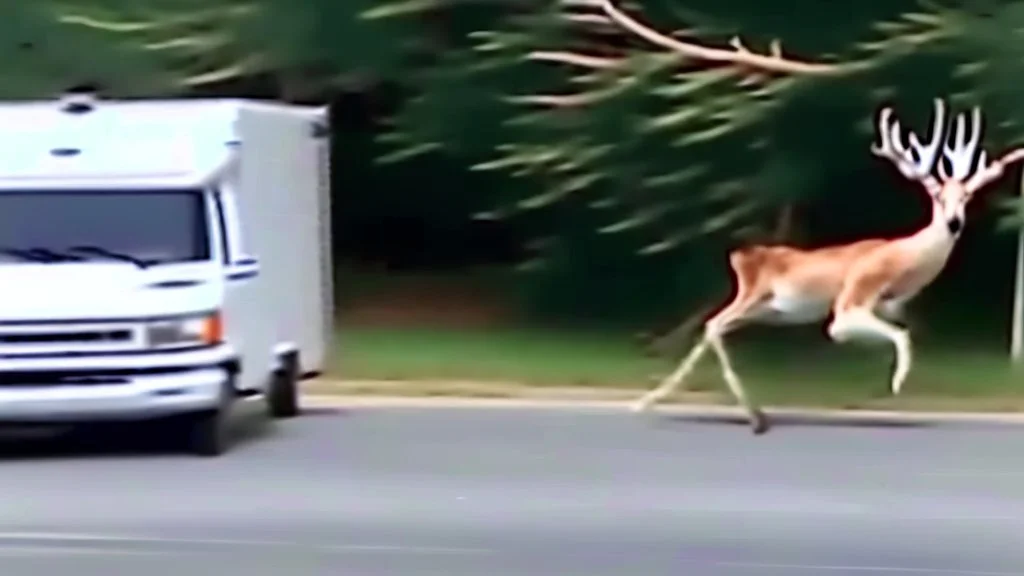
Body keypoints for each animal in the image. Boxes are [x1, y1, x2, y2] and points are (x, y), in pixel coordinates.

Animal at [626, 97, 1024, 430]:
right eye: (939, 196)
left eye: (968, 196)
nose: (954, 222)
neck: (903, 263)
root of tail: (740, 257)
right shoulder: (850, 302)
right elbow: (895, 335)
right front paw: (897, 382)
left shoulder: (892, 305)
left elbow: (905, 330)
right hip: (756, 296)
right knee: (714, 324)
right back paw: (748, 416)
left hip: (763, 309)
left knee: (714, 326)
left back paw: (663, 403)